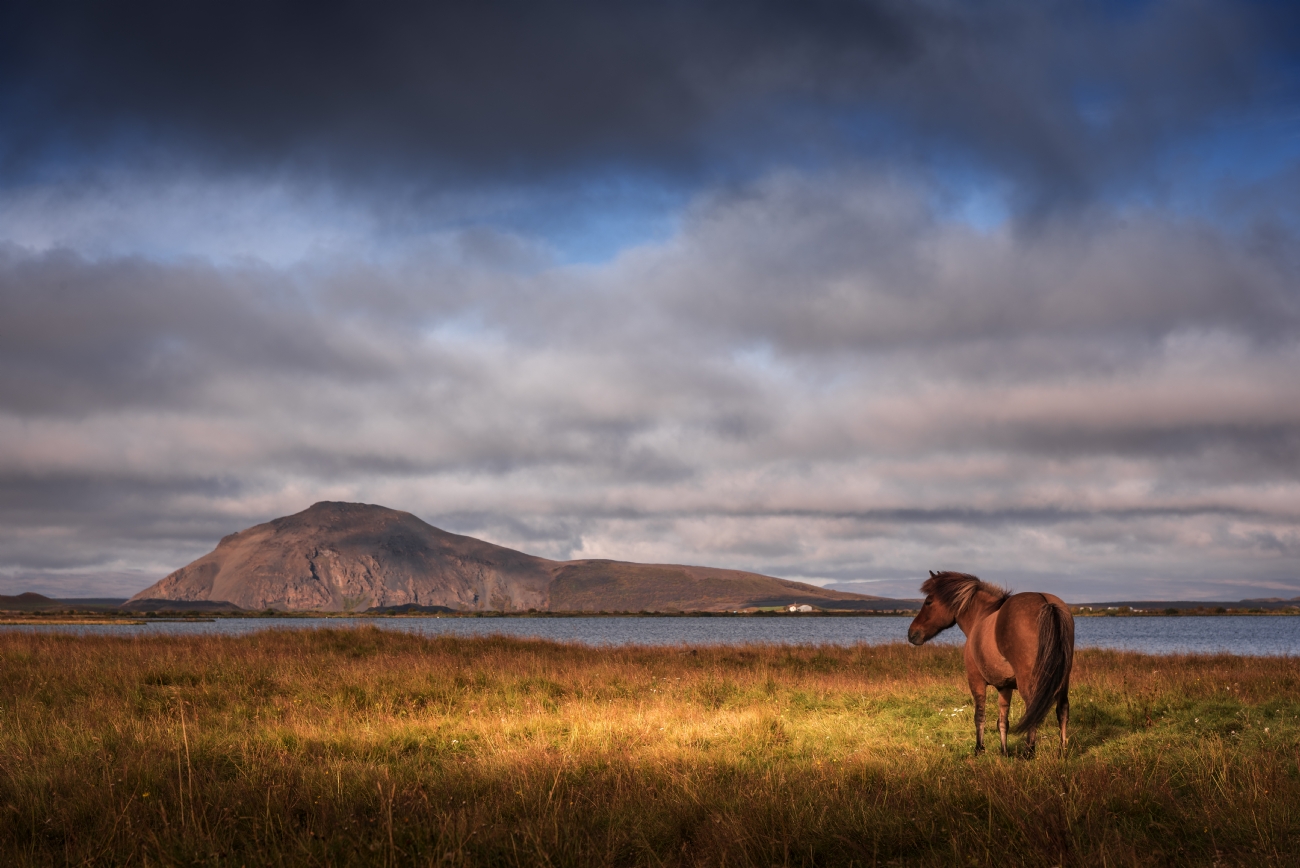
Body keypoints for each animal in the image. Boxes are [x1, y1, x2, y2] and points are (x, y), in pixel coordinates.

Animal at [904, 569, 1076, 753]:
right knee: (1062, 710)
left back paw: (1028, 752)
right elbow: (1003, 720)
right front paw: (1004, 751)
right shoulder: (1004, 687)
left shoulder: (976, 680)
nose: (912, 634)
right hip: (1062, 680)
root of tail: (1046, 602)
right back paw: (1062, 751)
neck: (981, 616)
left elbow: (979, 716)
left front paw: (979, 748)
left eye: (928, 602)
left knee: (1034, 710)